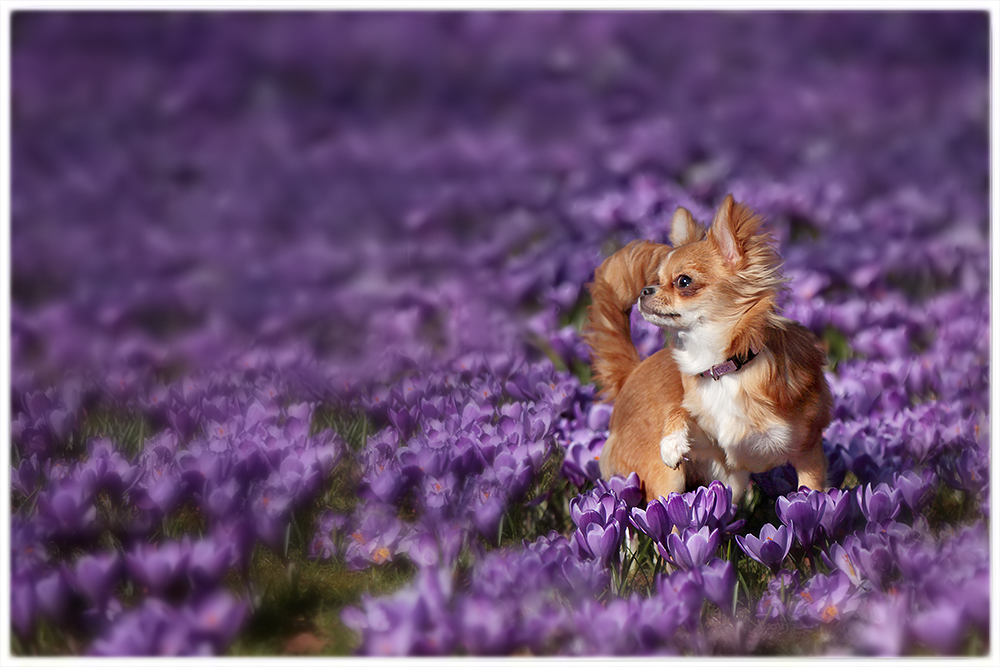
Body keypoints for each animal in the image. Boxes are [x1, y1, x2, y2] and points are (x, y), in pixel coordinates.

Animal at [584, 193, 832, 500]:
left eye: (683, 281)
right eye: (656, 280)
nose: (645, 291)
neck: (725, 366)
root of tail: (632, 373)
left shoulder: (809, 455)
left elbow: (809, 493)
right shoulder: (714, 446)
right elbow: (679, 409)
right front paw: (671, 441)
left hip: (731, 484)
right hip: (671, 479)